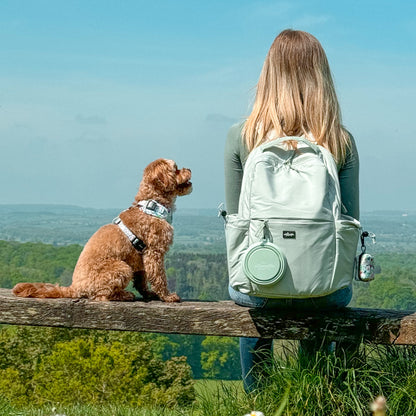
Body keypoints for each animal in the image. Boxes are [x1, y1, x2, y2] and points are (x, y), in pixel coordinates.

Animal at [12, 158, 192, 302]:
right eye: (176, 168)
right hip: (121, 268)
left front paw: (148, 294)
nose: (189, 169)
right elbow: (159, 277)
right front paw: (167, 296)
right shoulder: (154, 253)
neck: (152, 205)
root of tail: (74, 288)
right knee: (102, 295)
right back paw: (123, 295)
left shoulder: (141, 259)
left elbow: (141, 281)